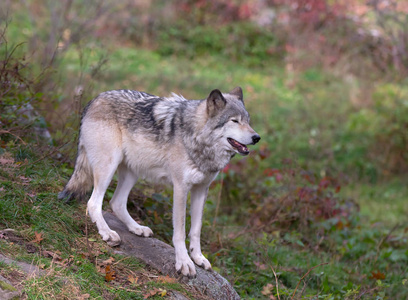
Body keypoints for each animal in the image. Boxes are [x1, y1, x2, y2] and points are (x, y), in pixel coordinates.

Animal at [59, 86, 260, 276]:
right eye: (234, 121)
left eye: (248, 121)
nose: (256, 137)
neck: (196, 138)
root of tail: (94, 99)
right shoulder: (180, 188)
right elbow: (180, 232)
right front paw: (184, 262)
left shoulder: (201, 189)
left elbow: (196, 230)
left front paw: (198, 258)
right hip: (108, 166)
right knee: (93, 203)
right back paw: (107, 233)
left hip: (132, 172)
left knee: (116, 202)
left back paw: (137, 228)